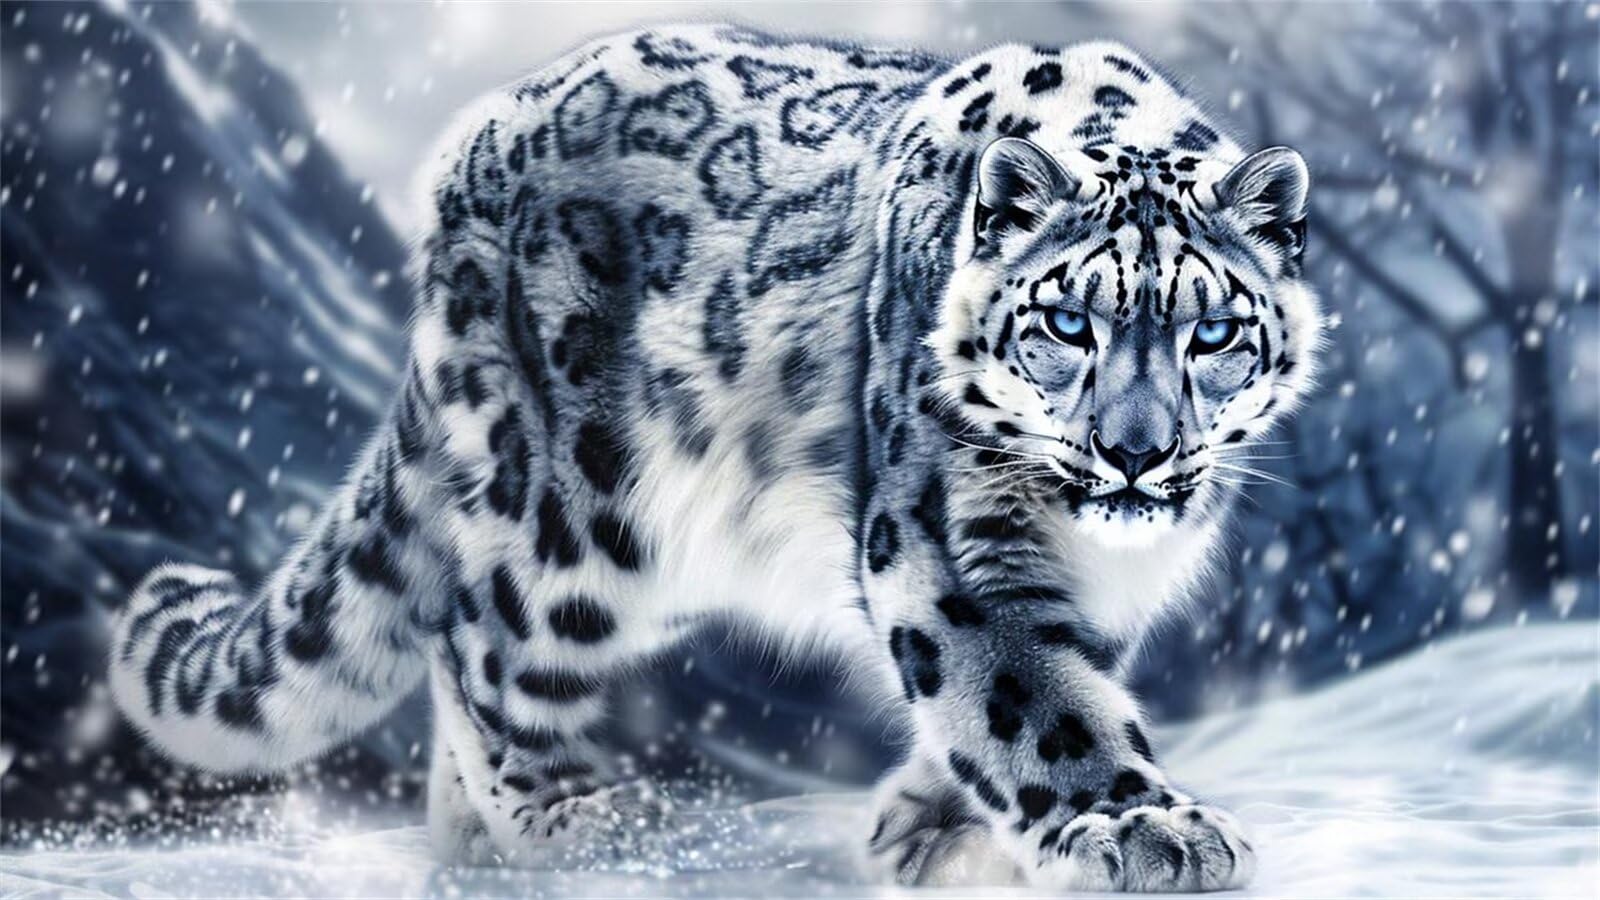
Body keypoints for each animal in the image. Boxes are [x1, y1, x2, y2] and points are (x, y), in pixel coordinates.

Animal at [108, 23, 1321, 891]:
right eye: (1068, 324)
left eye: (1213, 334)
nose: (1135, 454)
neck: (1090, 543)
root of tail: (472, 143)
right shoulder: (948, 539)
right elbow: (1027, 692)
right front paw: (1145, 826)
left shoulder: (1107, 586)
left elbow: (1043, 683)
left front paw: (925, 825)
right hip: (581, 508)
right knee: (481, 635)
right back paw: (563, 820)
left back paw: (475, 848)